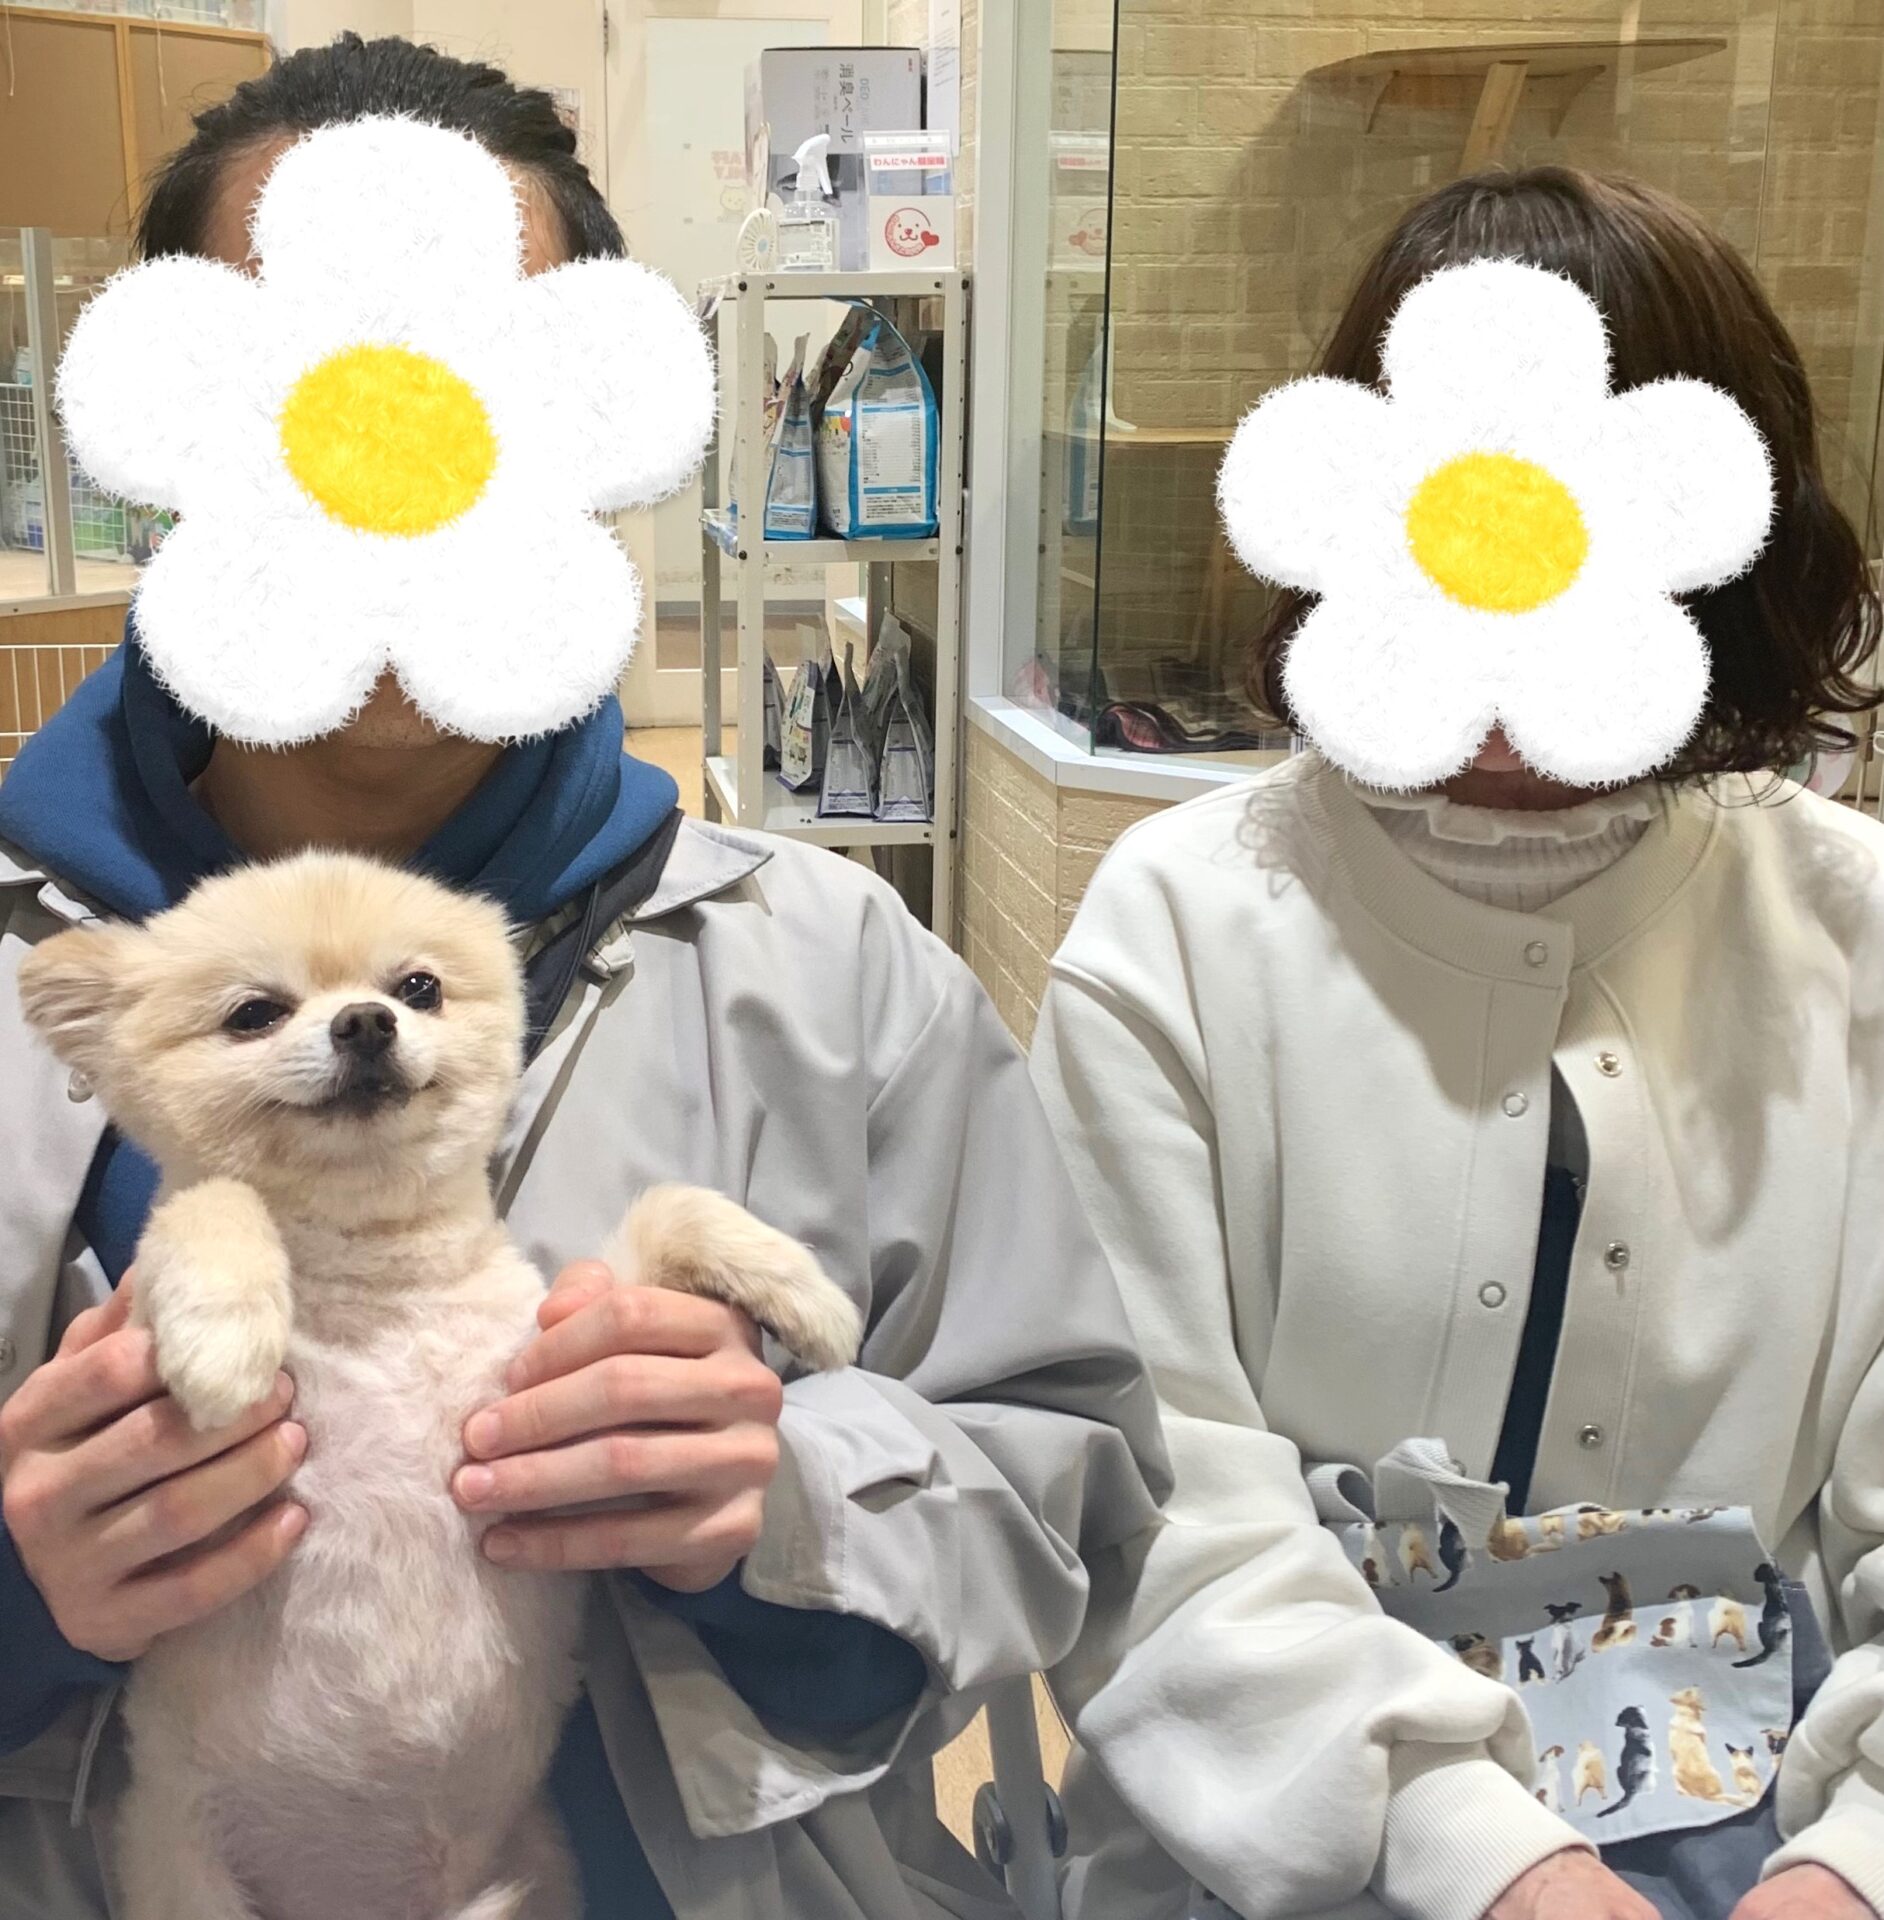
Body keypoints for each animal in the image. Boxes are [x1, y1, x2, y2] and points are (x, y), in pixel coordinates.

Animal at [18, 853, 863, 1920]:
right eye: (254, 1014)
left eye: (417, 987)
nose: (364, 1022)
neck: (381, 1285)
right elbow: (216, 1201)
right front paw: (223, 1334)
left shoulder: (545, 1351)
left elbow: (674, 1206)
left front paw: (806, 1292)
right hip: (186, 1880)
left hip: (535, 1873)